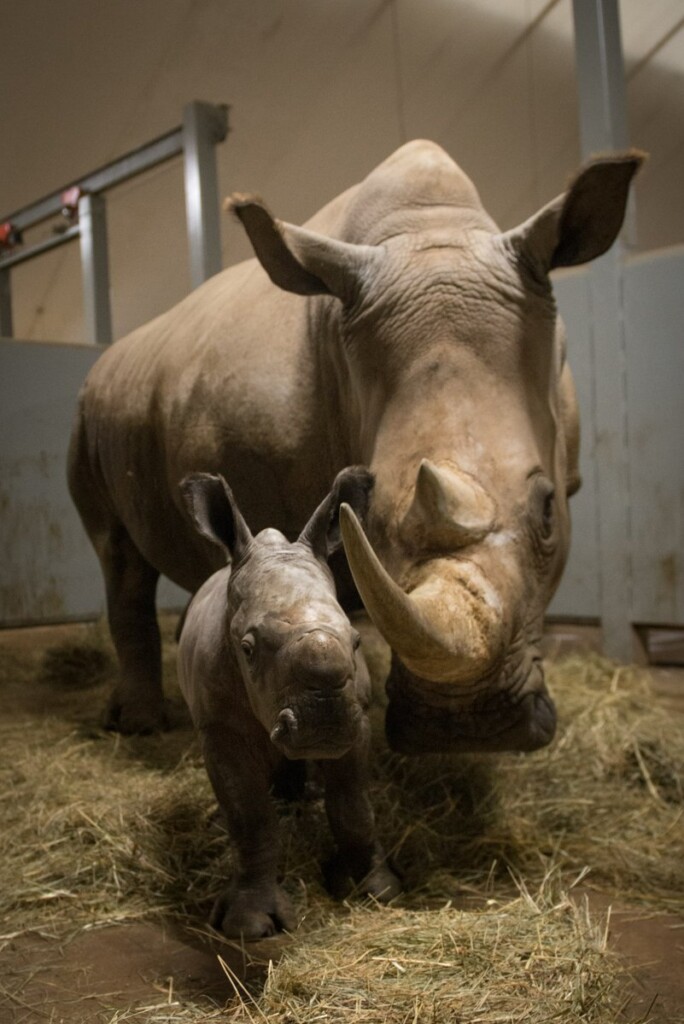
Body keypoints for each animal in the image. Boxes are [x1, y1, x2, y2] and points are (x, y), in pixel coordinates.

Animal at [68, 140, 642, 751]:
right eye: (373, 521)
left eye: (550, 512)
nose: (468, 730)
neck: (431, 230)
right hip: (84, 414)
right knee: (117, 554)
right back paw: (140, 724)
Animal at [177, 466, 399, 938]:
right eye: (246, 648)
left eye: (356, 640)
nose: (324, 721)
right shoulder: (219, 727)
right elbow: (251, 818)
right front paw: (250, 925)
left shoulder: (358, 722)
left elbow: (354, 806)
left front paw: (377, 888)